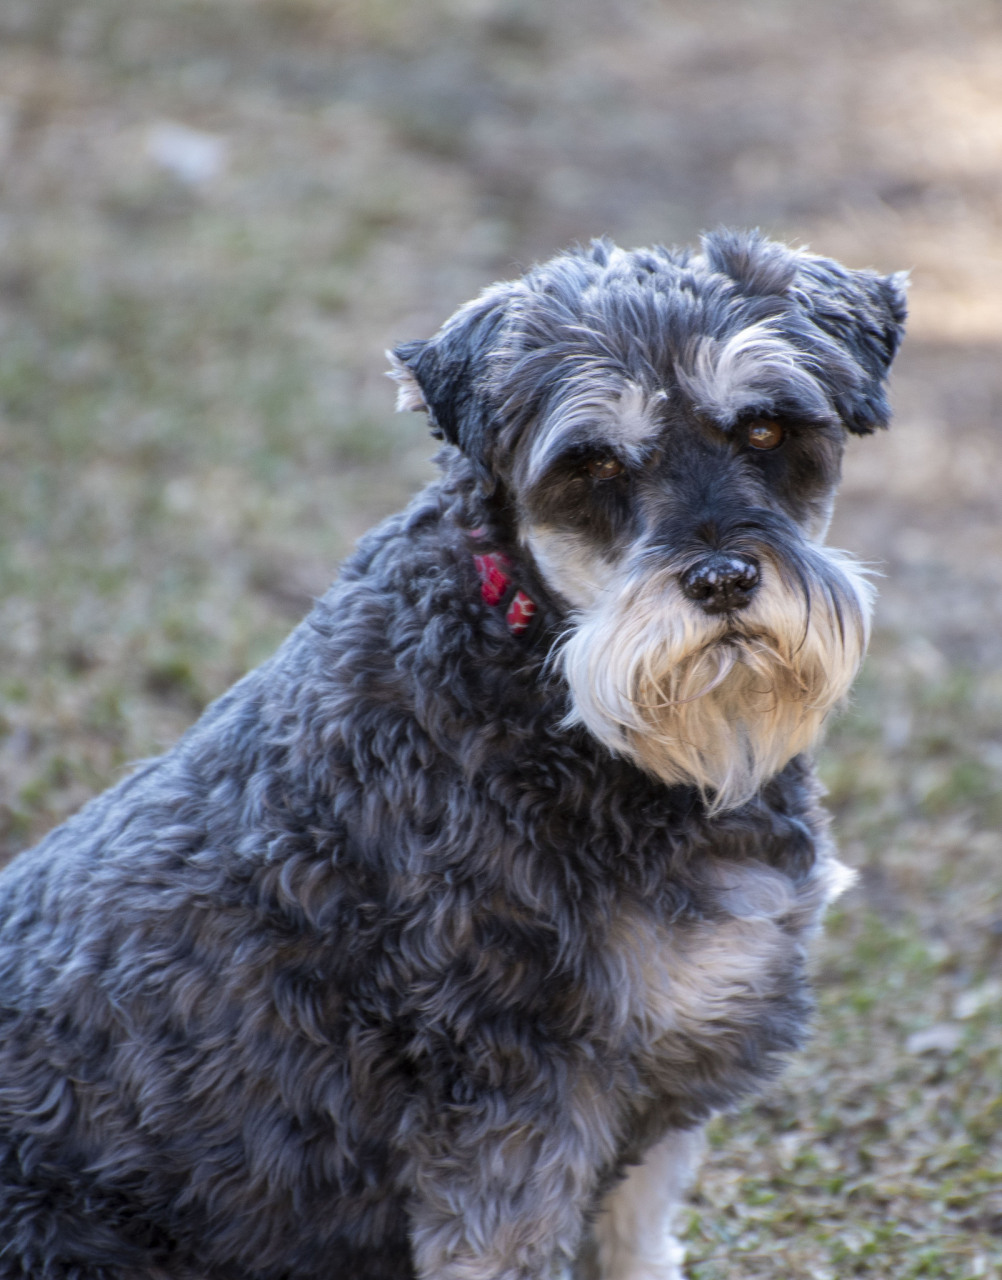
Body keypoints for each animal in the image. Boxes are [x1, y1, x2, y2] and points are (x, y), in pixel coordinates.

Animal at [0, 232, 911, 1280]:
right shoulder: (512, 1092)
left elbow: (638, 1237)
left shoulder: (668, 1068)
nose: (722, 579)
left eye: (764, 430)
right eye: (593, 462)